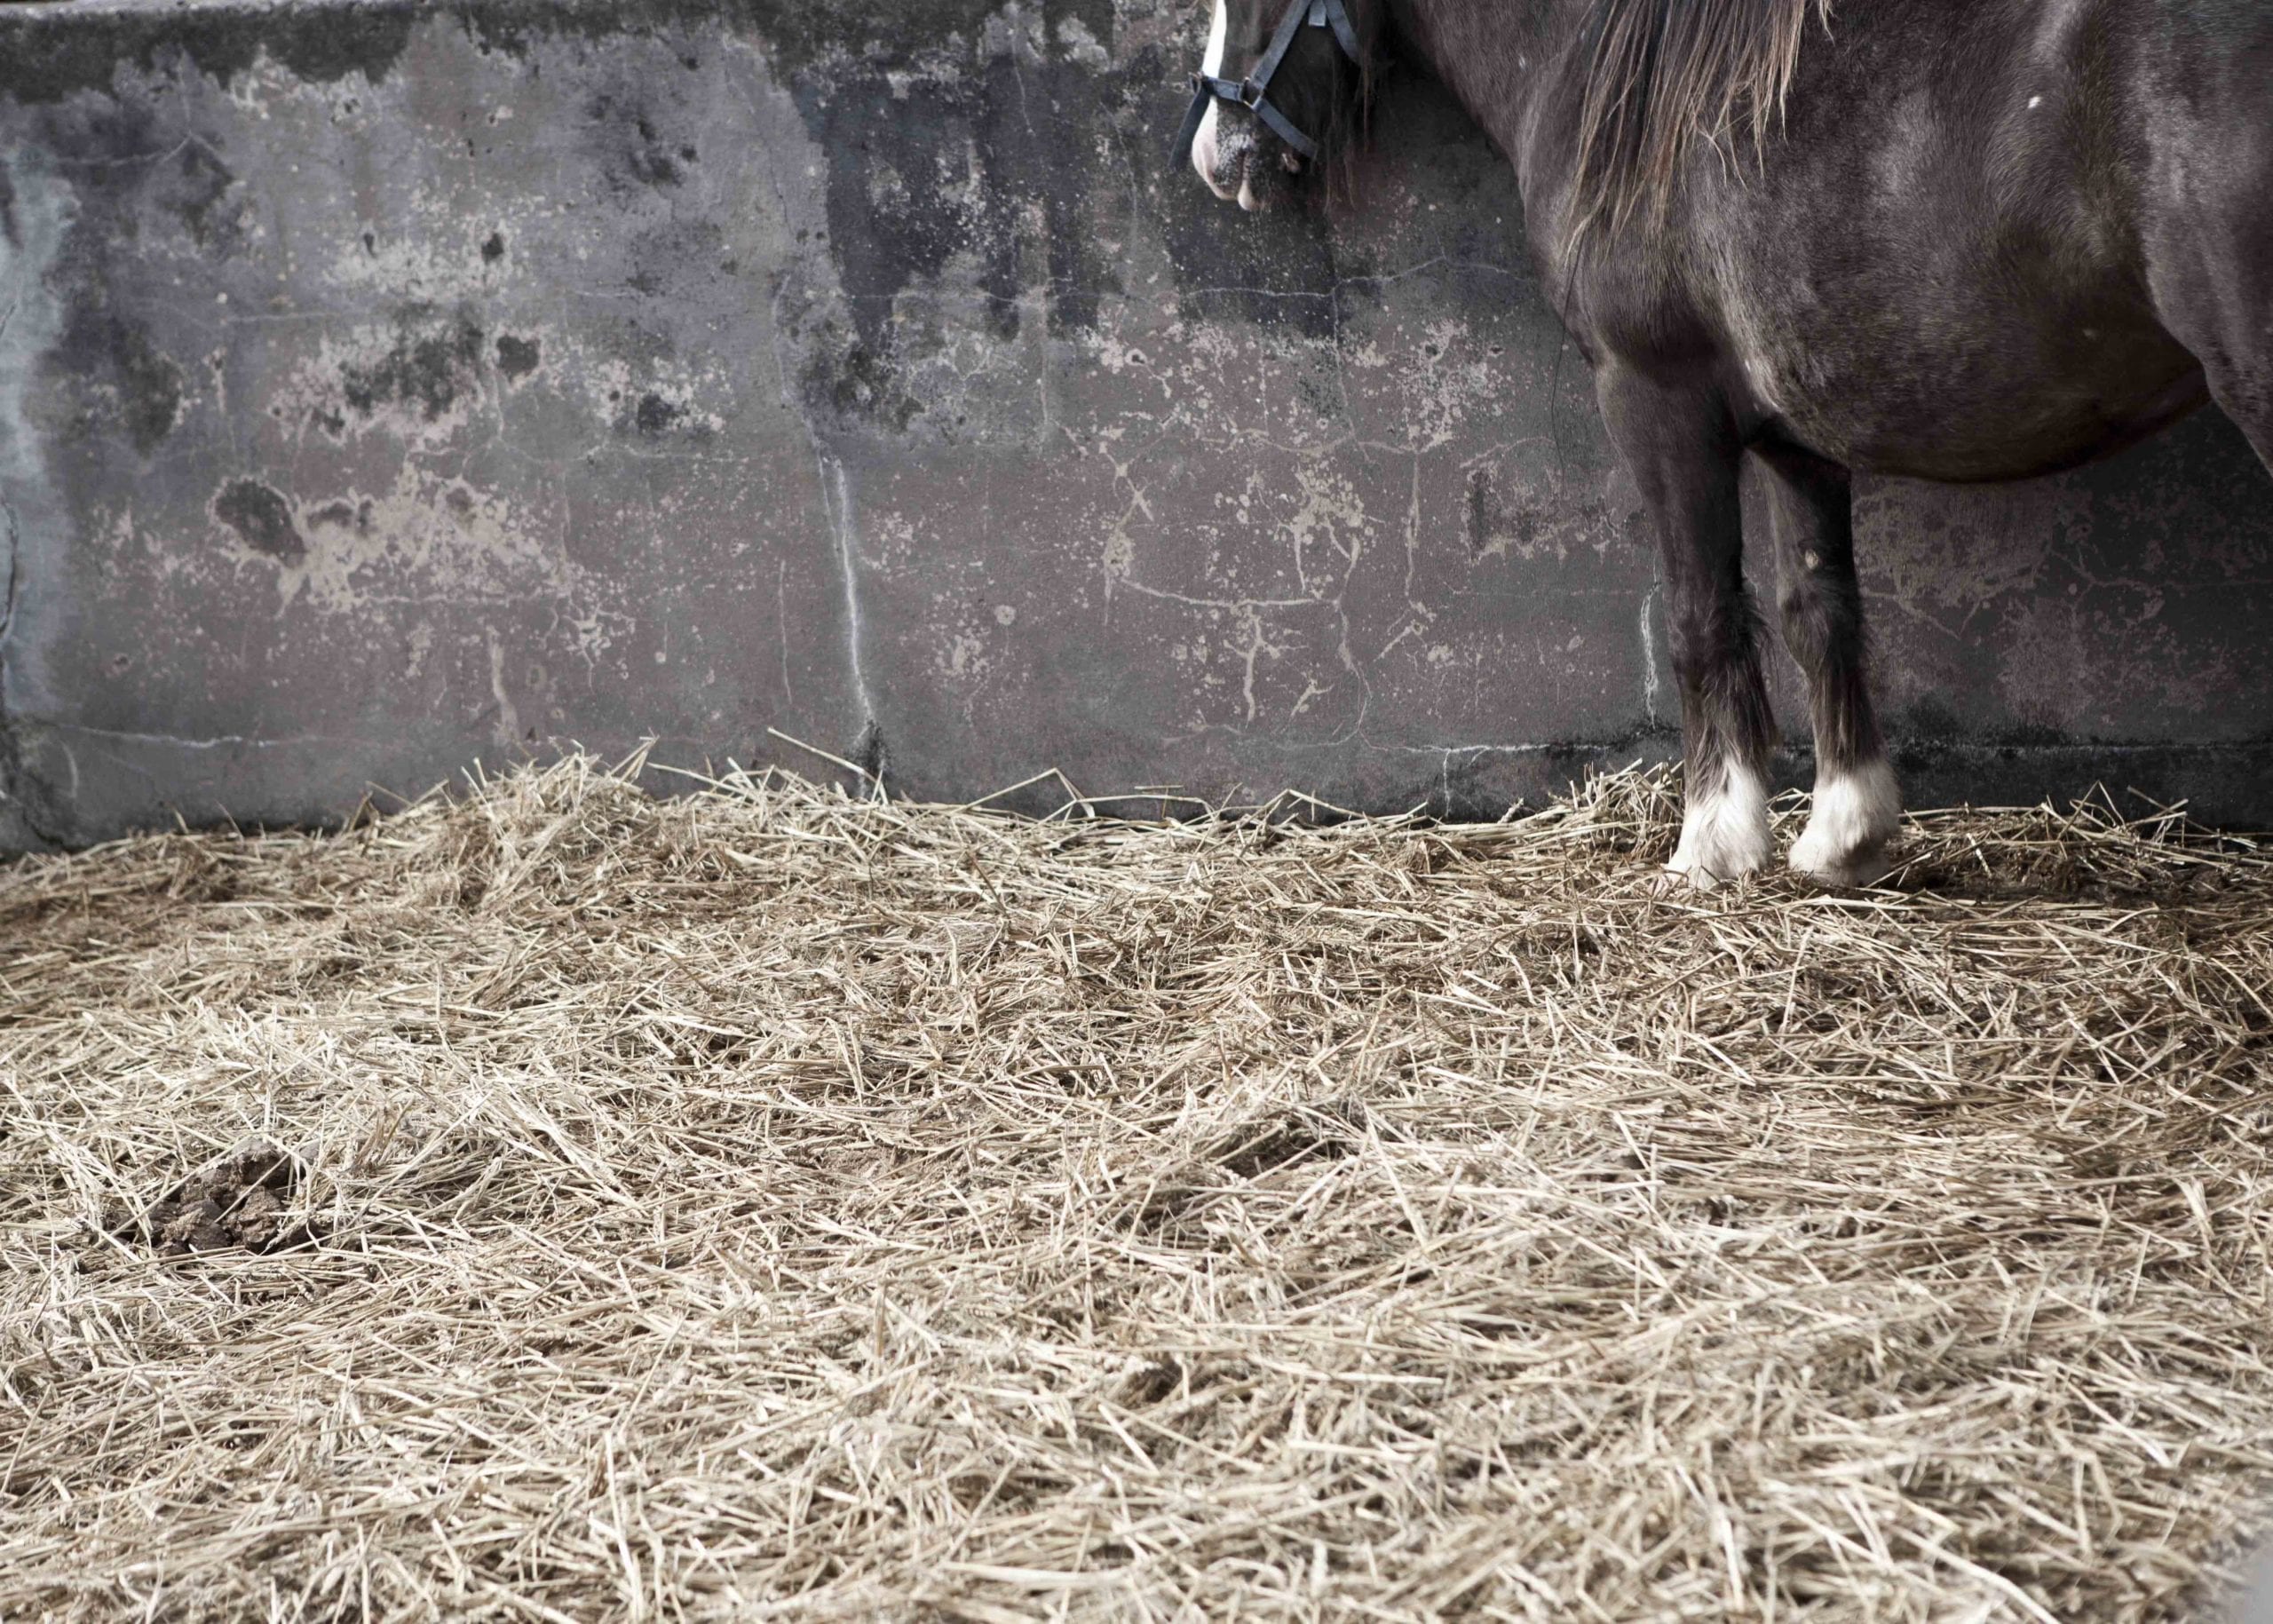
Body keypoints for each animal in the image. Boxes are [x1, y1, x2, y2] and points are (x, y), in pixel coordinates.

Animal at [1182, 0, 2263, 887]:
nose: (1215, 153)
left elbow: (1700, 615)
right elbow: (1817, 610)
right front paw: (1844, 836)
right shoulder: (1799, 432)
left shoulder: (1655, 399)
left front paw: (1714, 840)